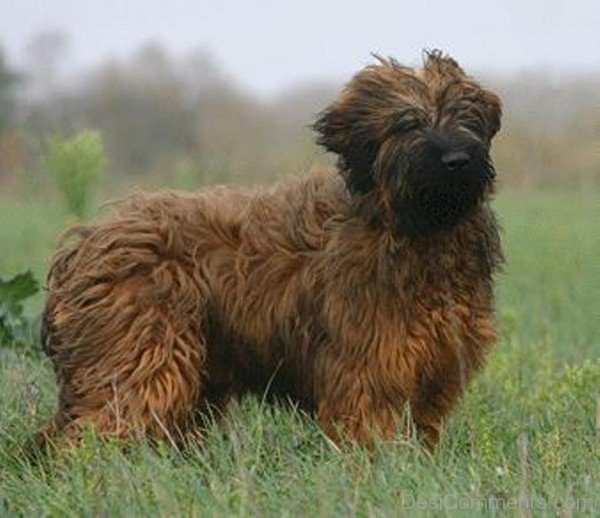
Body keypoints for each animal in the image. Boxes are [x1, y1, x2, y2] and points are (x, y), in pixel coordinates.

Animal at [39, 51, 504, 450]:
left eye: (467, 118)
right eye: (408, 123)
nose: (457, 160)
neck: (417, 231)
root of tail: (82, 247)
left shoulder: (433, 375)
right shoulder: (367, 374)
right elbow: (368, 435)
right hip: (140, 359)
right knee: (92, 432)